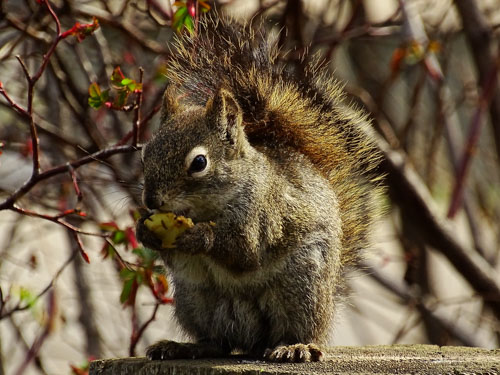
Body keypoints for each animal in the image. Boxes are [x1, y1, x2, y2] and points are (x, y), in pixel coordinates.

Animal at [135, 15, 380, 364]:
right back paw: (187, 347)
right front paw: (144, 230)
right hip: (196, 299)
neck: (209, 206)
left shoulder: (262, 215)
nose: (152, 201)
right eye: (145, 154)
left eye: (199, 163)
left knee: (297, 330)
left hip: (302, 287)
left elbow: (244, 252)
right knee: (218, 342)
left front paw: (197, 235)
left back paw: (295, 346)